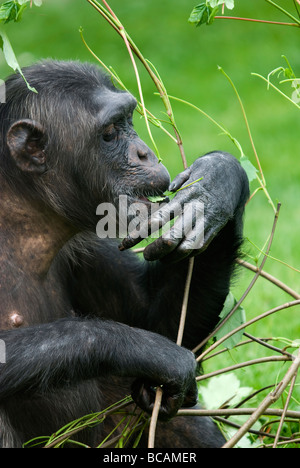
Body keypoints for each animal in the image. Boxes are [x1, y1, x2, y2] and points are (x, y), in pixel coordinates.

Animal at [0, 60, 250, 448]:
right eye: (109, 133)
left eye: (128, 121)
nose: (143, 152)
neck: (26, 218)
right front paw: (154, 353)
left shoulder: (89, 240)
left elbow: (150, 314)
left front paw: (215, 183)